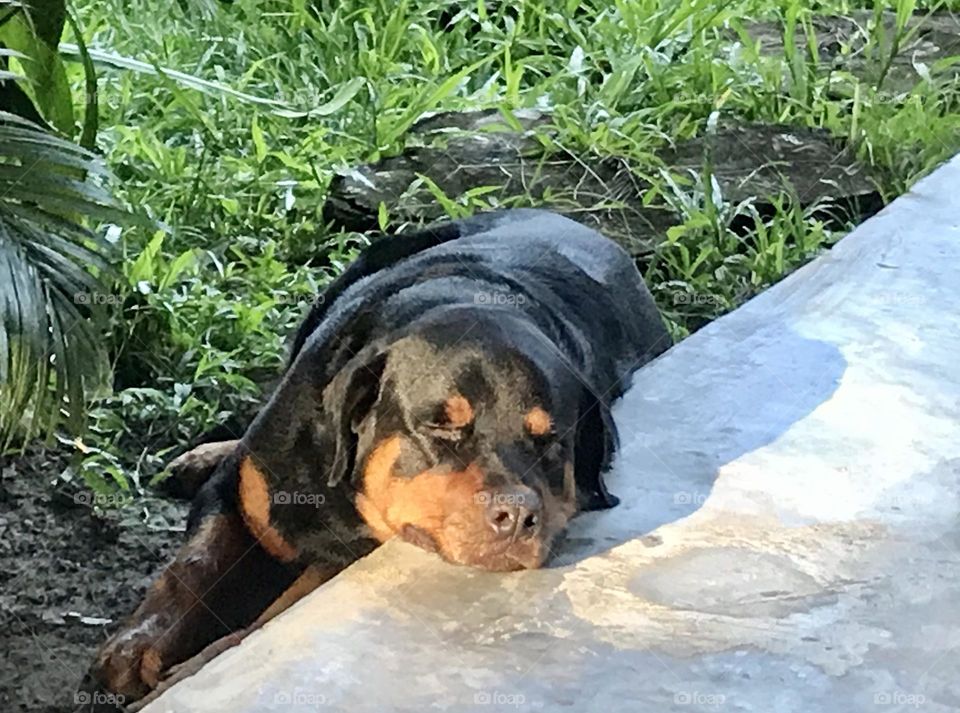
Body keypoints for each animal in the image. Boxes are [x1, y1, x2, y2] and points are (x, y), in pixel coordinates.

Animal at [86, 209, 672, 704]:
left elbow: (267, 618)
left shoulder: (338, 561)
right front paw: (137, 645)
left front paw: (186, 670)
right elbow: (194, 566)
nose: (517, 515)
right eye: (441, 425)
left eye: (551, 442)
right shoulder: (243, 486)